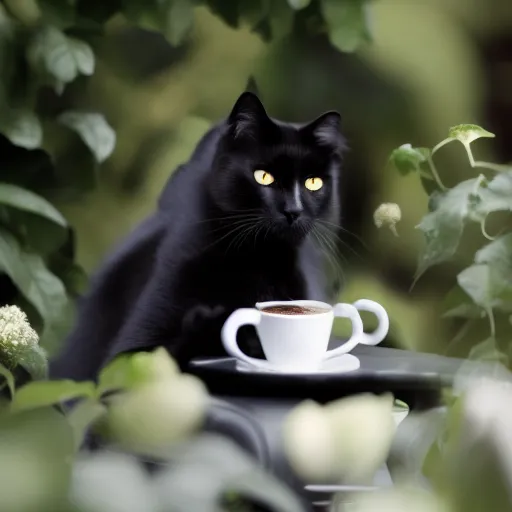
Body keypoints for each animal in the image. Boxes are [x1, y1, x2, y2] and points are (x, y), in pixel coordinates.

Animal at [50, 91, 348, 380]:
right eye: (263, 176)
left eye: (313, 182)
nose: (293, 210)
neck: (251, 261)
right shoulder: (131, 348)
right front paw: (222, 324)